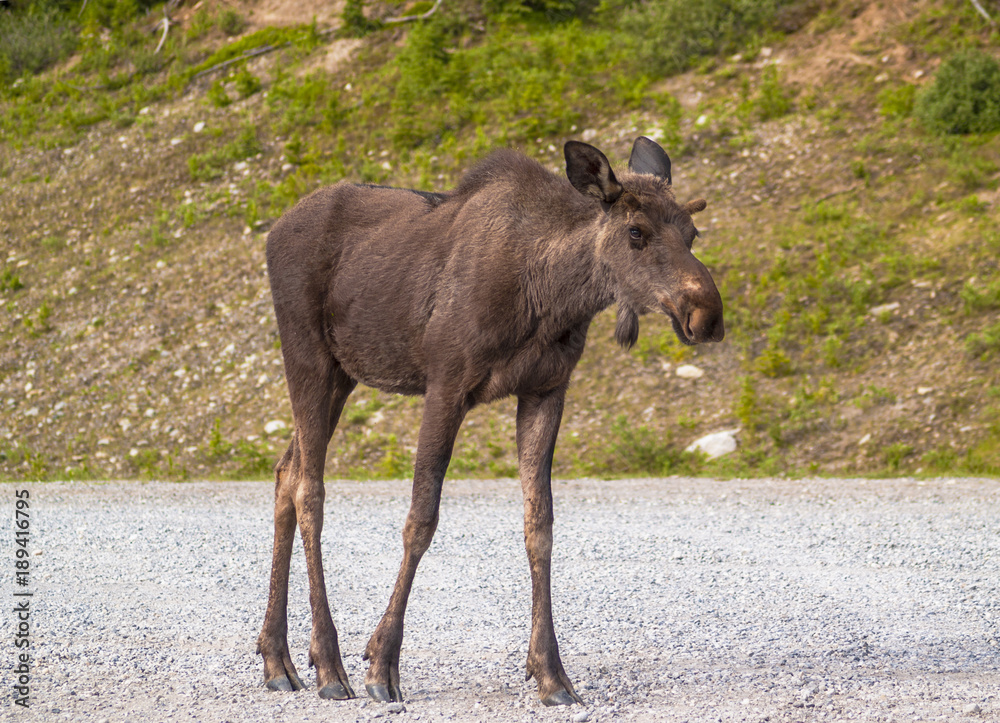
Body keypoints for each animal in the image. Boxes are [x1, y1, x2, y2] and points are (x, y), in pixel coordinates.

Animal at [258, 136, 724, 707]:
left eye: (693, 232)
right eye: (636, 232)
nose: (707, 315)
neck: (553, 295)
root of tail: (272, 232)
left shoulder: (546, 390)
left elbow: (539, 524)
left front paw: (551, 672)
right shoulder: (446, 384)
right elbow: (421, 520)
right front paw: (382, 662)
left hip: (343, 374)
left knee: (286, 470)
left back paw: (278, 658)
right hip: (308, 355)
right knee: (311, 487)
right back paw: (328, 663)